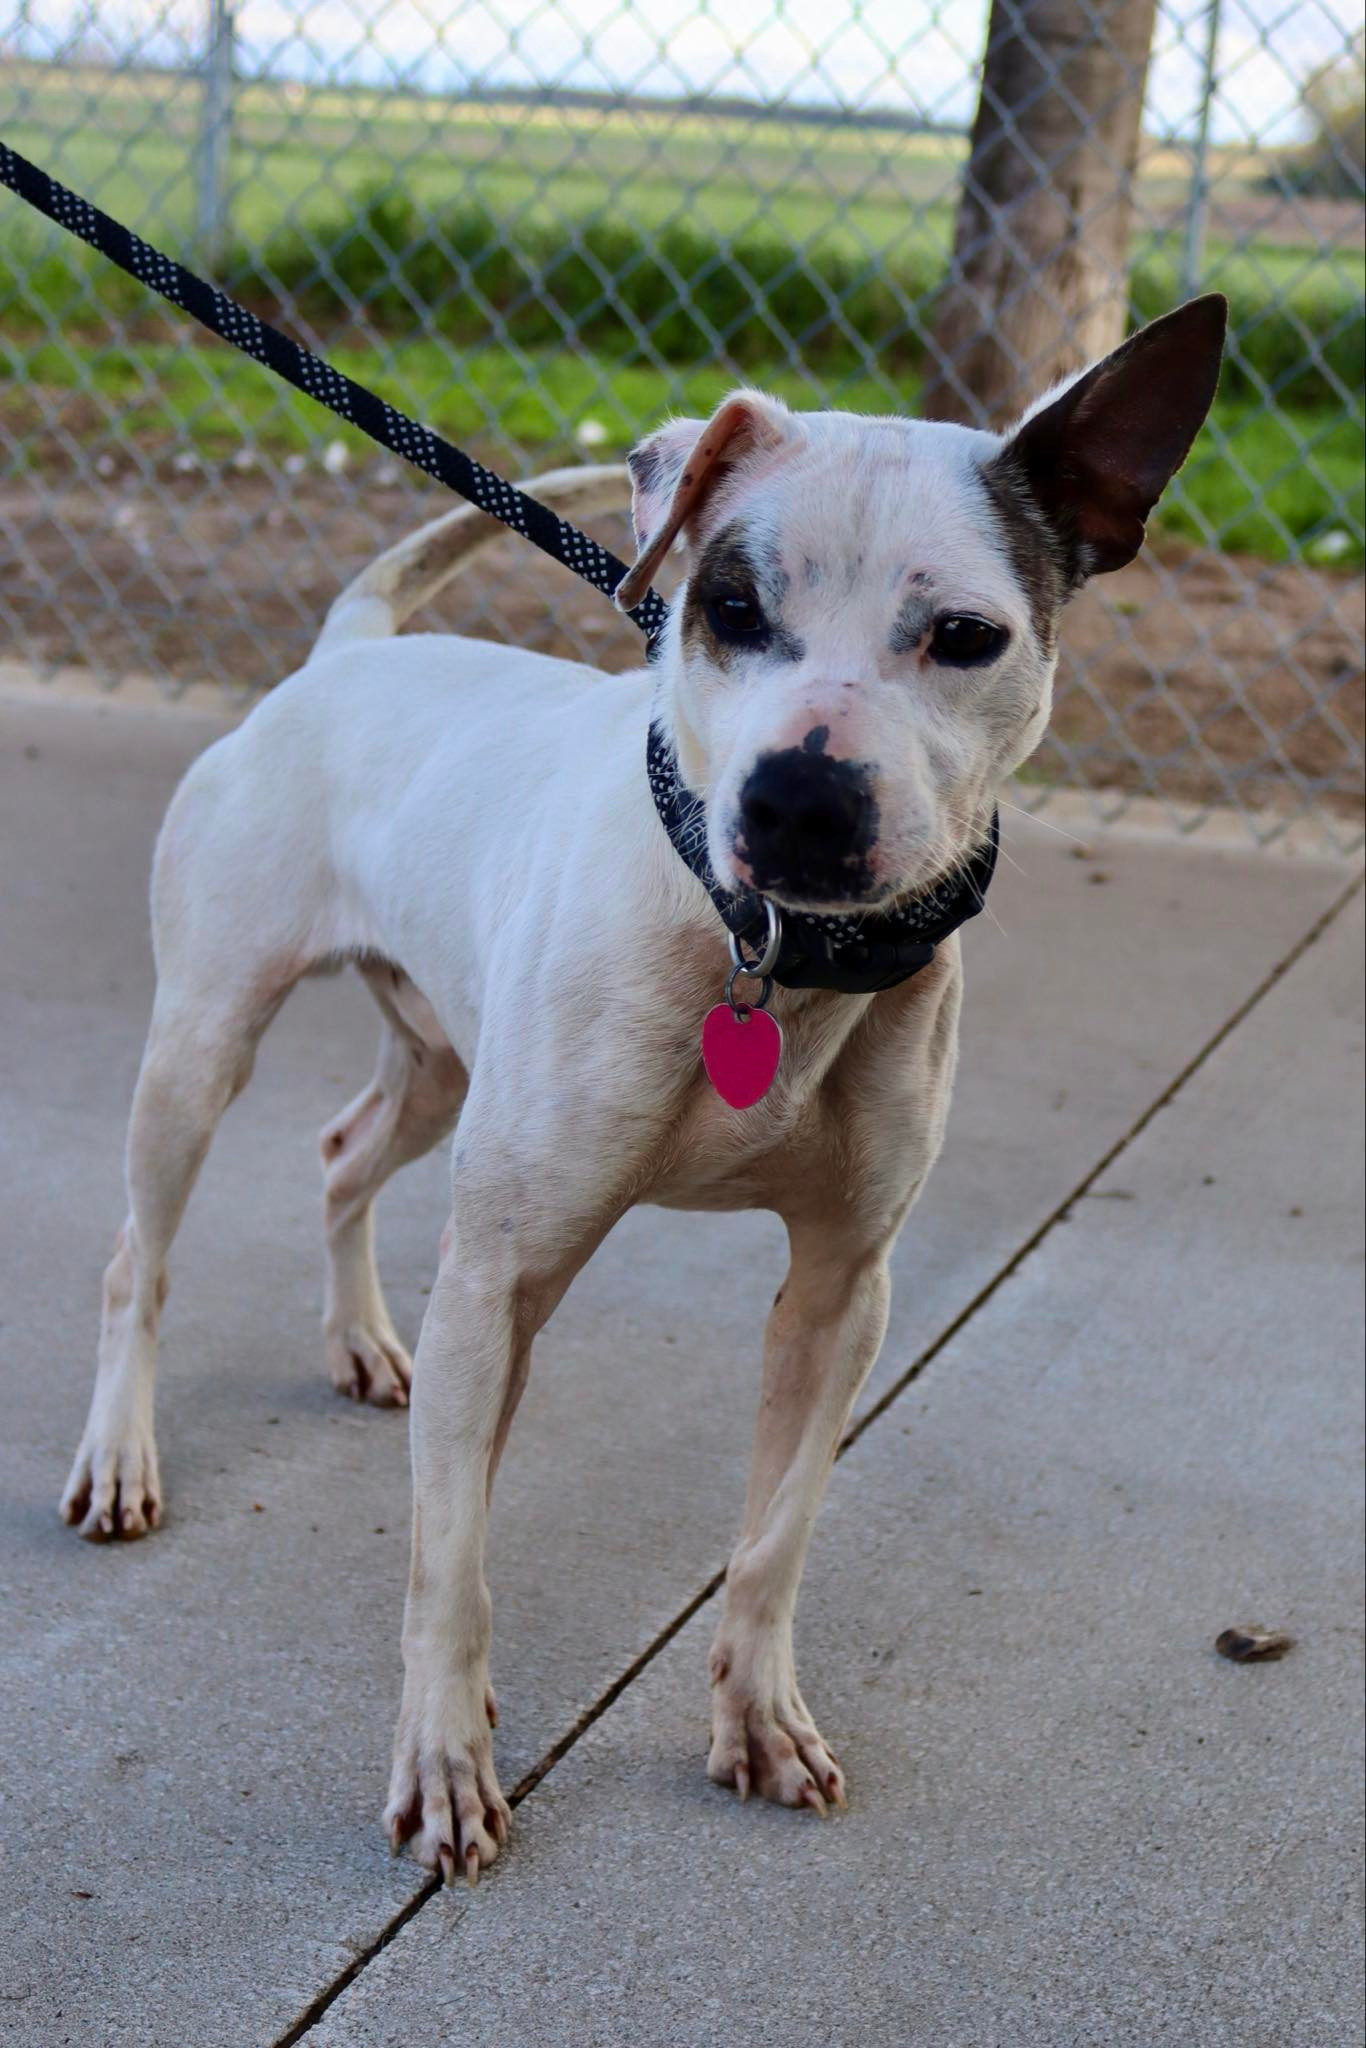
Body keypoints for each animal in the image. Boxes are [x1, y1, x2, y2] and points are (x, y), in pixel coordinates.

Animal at [58, 296, 1228, 1875]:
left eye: (966, 636)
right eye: (727, 607)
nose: (800, 798)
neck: (770, 959)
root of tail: (348, 653)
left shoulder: (841, 1294)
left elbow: (774, 1535)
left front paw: (758, 1716)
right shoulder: (500, 1275)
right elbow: (451, 1562)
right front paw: (445, 1760)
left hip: (440, 1071)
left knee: (341, 1150)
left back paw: (360, 1340)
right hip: (201, 1046)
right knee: (142, 1255)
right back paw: (122, 1454)